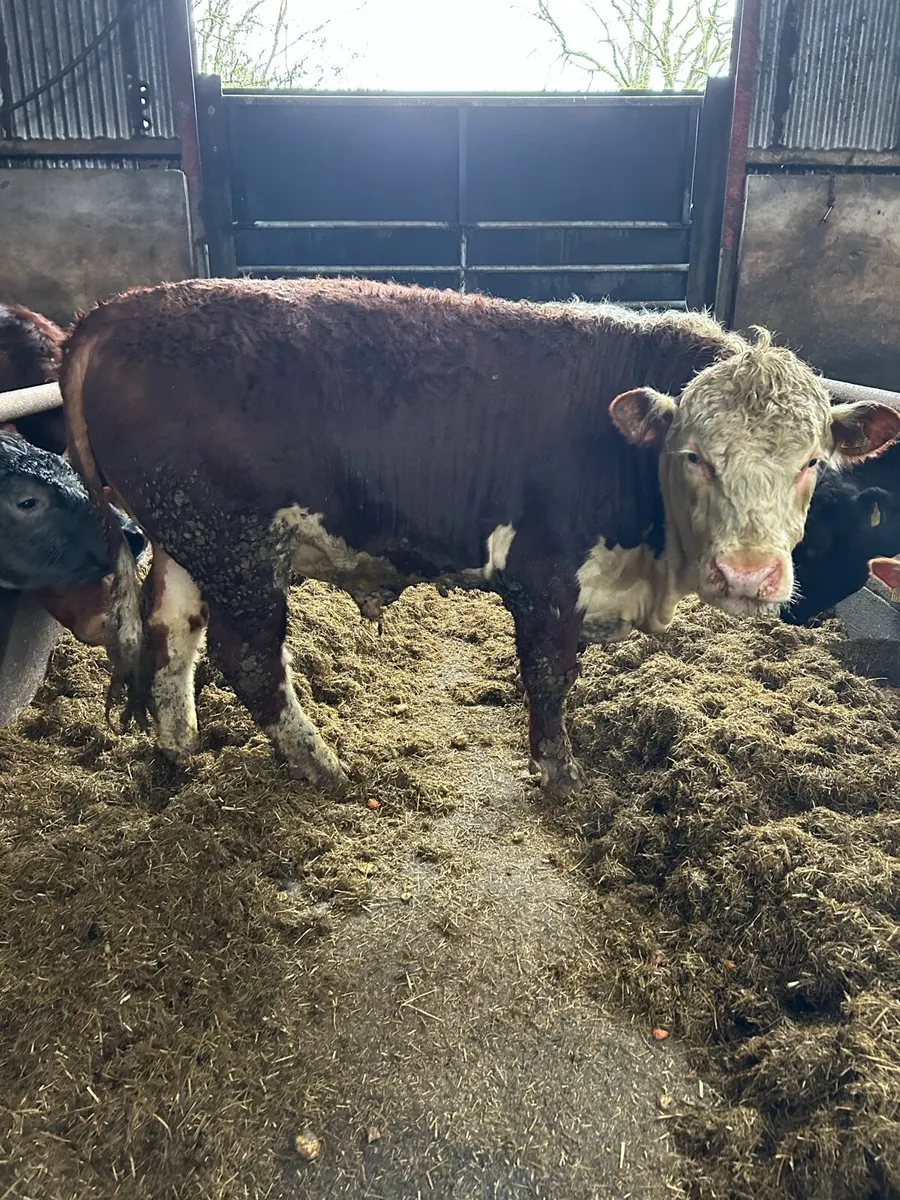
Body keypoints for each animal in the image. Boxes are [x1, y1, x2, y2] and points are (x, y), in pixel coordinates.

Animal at [60, 277, 900, 795]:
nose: (752, 575)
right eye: (693, 455)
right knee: (251, 658)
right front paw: (558, 774)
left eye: (811, 461)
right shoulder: (545, 574)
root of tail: (116, 310)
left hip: (188, 540)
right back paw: (323, 764)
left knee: (173, 634)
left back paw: (179, 745)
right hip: (237, 543)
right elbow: (550, 678)